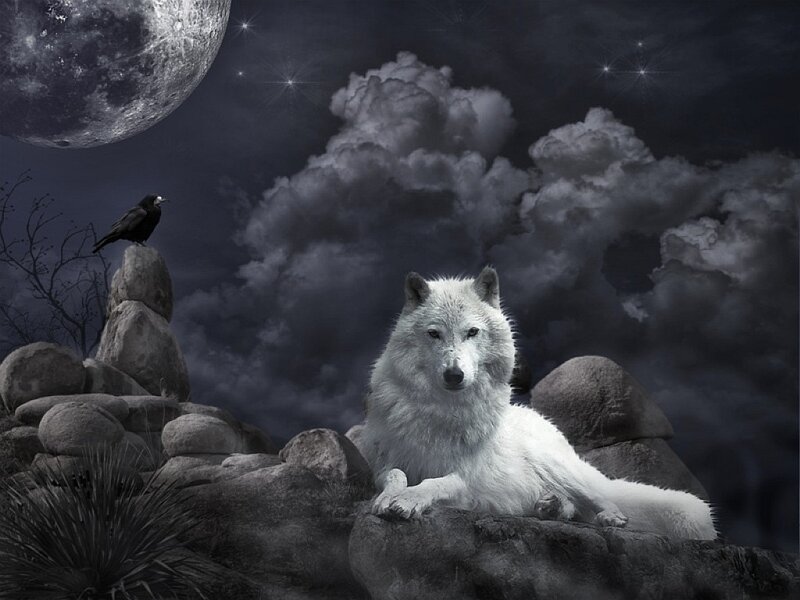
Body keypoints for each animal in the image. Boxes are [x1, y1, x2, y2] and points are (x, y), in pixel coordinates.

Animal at [359, 267, 716, 540]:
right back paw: (550, 507)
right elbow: (395, 476)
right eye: (434, 334)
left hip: (559, 466)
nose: (454, 375)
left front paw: (408, 501)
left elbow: (434, 482)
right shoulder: (384, 462)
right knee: (574, 509)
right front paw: (388, 498)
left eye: (472, 332)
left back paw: (608, 517)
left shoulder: (466, 479)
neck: (441, 411)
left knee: (598, 498)